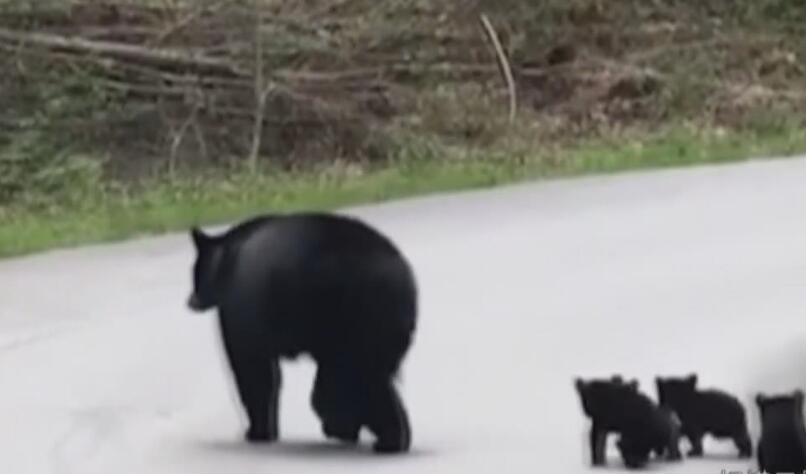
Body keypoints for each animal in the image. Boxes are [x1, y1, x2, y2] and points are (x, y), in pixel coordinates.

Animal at [186, 211, 419, 454]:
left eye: (195, 272)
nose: (190, 301)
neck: (229, 259)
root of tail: (401, 278)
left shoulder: (241, 310)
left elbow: (252, 369)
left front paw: (257, 431)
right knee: (363, 378)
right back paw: (389, 437)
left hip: (355, 319)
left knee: (345, 382)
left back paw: (361, 433)